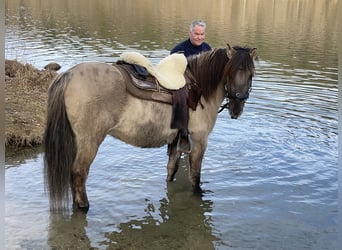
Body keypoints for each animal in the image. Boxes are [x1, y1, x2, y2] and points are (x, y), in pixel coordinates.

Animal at [43, 43, 256, 211]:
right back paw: (84, 208)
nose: (237, 107)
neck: (200, 88)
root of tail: (69, 74)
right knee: (79, 174)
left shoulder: (177, 142)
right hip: (89, 142)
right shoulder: (200, 141)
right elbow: (195, 177)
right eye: (230, 72)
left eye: (251, 74)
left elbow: (171, 171)